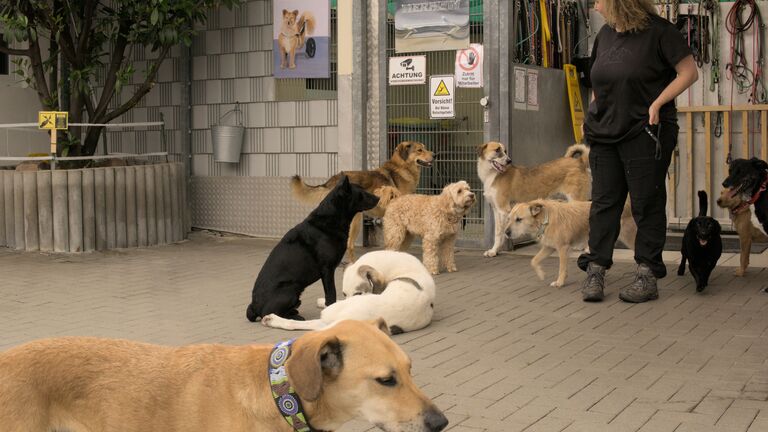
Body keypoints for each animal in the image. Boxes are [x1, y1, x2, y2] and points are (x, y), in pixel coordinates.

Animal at [246, 176, 378, 320]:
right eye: (362, 192)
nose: (378, 198)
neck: (331, 219)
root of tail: (254, 306)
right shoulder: (327, 269)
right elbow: (331, 294)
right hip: (292, 288)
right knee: (268, 313)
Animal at [260, 250, 436, 334]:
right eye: (344, 294)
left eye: (358, 293)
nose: (347, 299)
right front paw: (322, 300)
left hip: (329, 317)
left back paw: (272, 319)